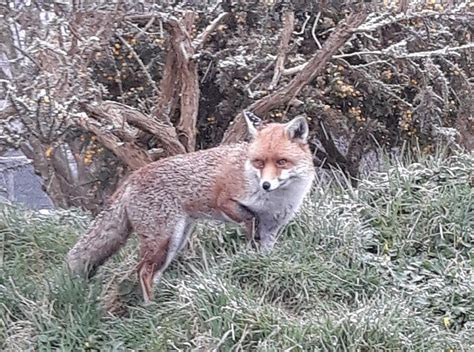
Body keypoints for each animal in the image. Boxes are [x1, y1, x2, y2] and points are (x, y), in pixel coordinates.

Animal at [65, 112, 312, 302]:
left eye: (281, 162)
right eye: (259, 162)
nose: (266, 185)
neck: (275, 199)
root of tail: (133, 176)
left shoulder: (273, 226)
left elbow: (265, 249)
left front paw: (262, 264)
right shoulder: (224, 201)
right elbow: (249, 217)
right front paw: (250, 242)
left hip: (176, 240)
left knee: (152, 273)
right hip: (163, 239)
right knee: (143, 271)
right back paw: (152, 309)